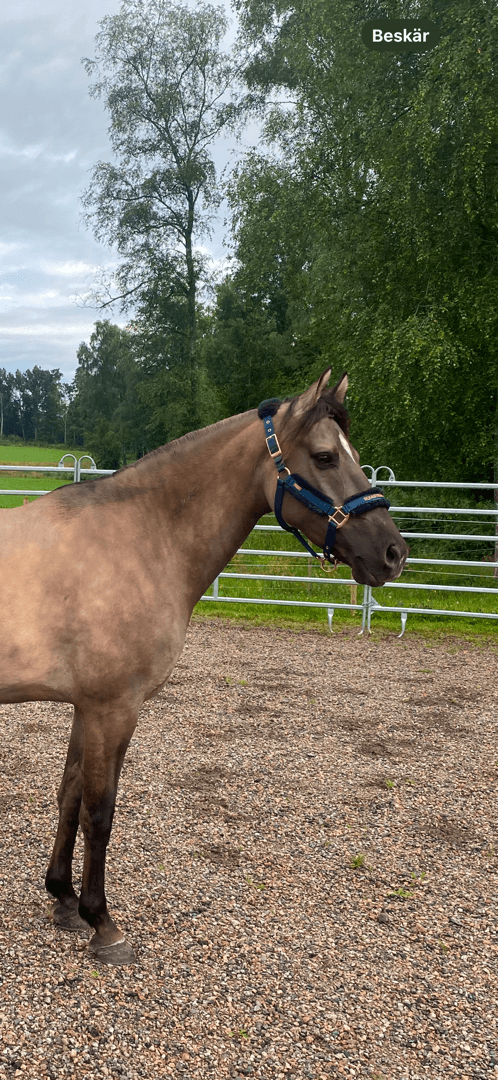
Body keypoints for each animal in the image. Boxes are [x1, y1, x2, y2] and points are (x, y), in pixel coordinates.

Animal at [0, 369, 406, 963]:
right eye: (326, 456)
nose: (393, 553)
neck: (140, 538)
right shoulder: (112, 708)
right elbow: (100, 811)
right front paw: (102, 923)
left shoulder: (86, 707)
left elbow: (70, 795)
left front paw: (63, 900)